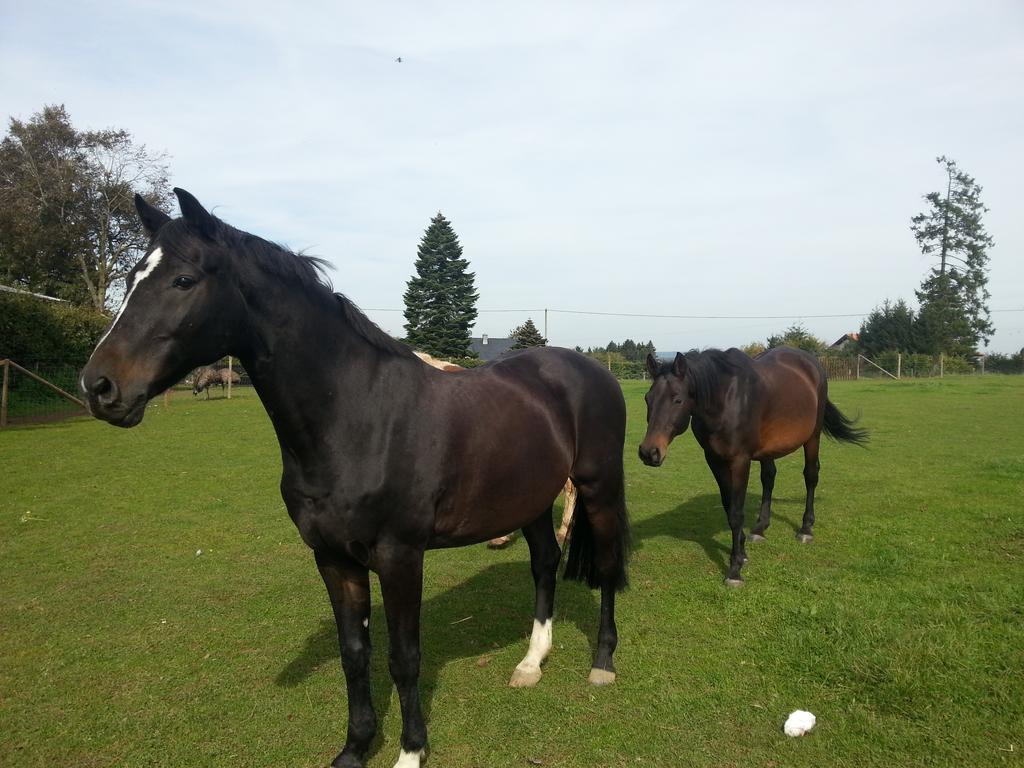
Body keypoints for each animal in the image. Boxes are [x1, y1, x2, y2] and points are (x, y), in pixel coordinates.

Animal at [638, 348, 864, 589]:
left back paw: (805, 529)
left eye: (677, 399)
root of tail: (812, 363)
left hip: (813, 436)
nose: (649, 452)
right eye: (647, 399)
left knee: (811, 476)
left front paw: (735, 569)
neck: (724, 400)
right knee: (769, 478)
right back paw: (760, 528)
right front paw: (742, 552)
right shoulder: (714, 460)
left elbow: (736, 513)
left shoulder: (740, 461)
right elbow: (729, 507)